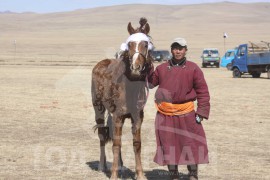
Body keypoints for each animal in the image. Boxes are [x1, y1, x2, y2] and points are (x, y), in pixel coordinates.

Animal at [91, 17, 153, 179]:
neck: (130, 87)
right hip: (98, 109)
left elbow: (136, 144)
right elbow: (116, 144)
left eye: (145, 44)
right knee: (102, 135)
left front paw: (140, 174)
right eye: (130, 45)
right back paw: (102, 165)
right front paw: (113, 175)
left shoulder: (137, 117)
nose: (136, 67)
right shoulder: (118, 116)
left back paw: (120, 165)